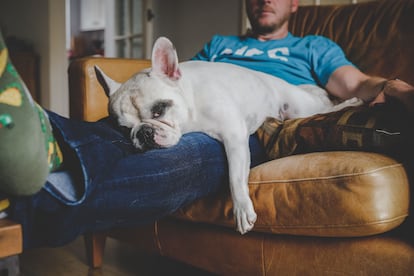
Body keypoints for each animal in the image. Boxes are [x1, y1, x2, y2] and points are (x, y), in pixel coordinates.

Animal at [95, 36, 360, 234]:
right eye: (123, 128)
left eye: (159, 110)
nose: (144, 132)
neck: (190, 105)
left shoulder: (234, 136)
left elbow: (235, 176)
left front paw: (241, 209)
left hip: (301, 109)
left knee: (327, 109)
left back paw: (350, 102)